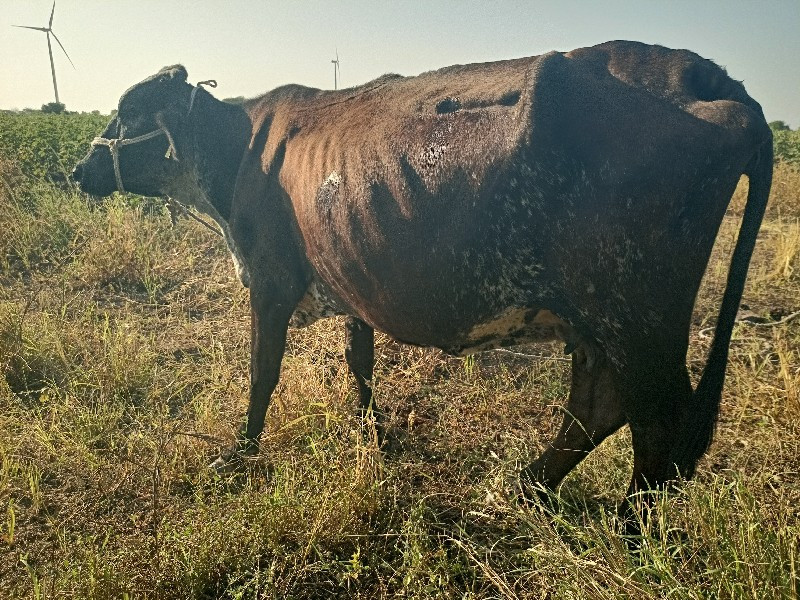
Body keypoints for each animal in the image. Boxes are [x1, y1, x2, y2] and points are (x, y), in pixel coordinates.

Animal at [72, 39, 772, 504]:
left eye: (127, 112)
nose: (79, 169)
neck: (239, 149)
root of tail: (710, 76)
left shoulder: (270, 281)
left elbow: (261, 373)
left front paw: (240, 453)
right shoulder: (348, 280)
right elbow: (359, 366)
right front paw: (374, 438)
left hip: (635, 313)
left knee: (657, 426)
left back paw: (630, 530)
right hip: (598, 320)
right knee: (599, 406)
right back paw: (526, 486)